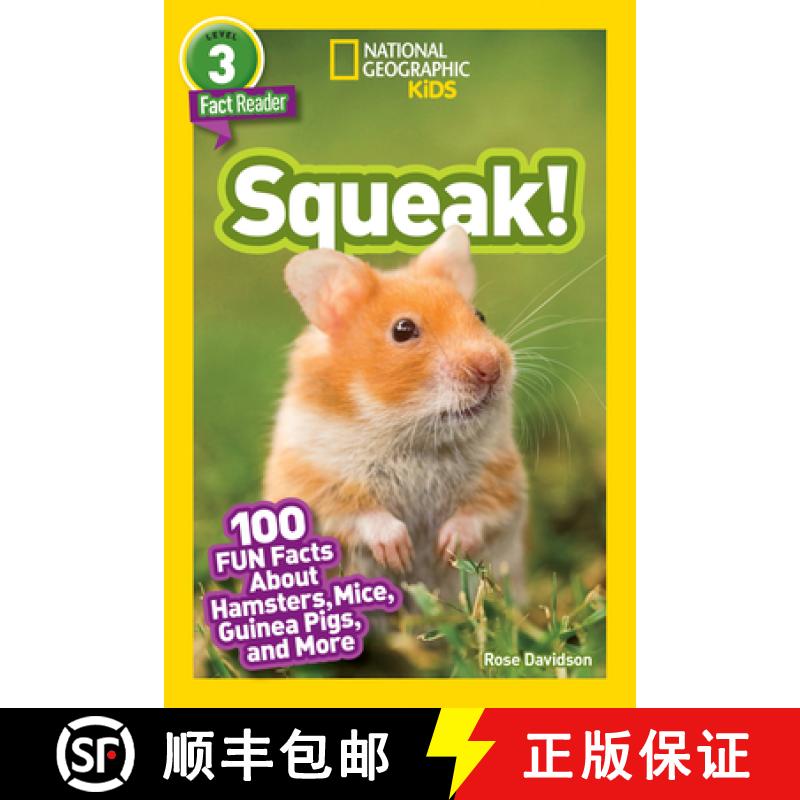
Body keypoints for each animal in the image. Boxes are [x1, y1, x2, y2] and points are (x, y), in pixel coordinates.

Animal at [263, 226, 527, 603]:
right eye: (403, 330)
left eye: (480, 316)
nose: (491, 368)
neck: (412, 437)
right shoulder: (315, 483)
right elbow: (361, 514)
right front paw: (401, 555)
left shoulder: (502, 480)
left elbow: (479, 512)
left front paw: (445, 549)